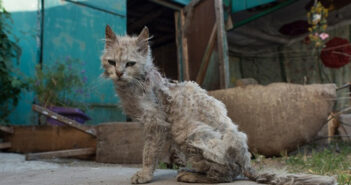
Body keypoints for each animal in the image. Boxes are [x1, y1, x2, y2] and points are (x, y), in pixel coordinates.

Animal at [100, 24, 336, 185]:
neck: (136, 84)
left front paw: (145, 175)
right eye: (112, 62)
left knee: (226, 175)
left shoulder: (156, 124)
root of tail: (247, 163)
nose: (119, 73)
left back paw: (190, 175)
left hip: (190, 133)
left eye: (130, 64)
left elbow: (148, 153)